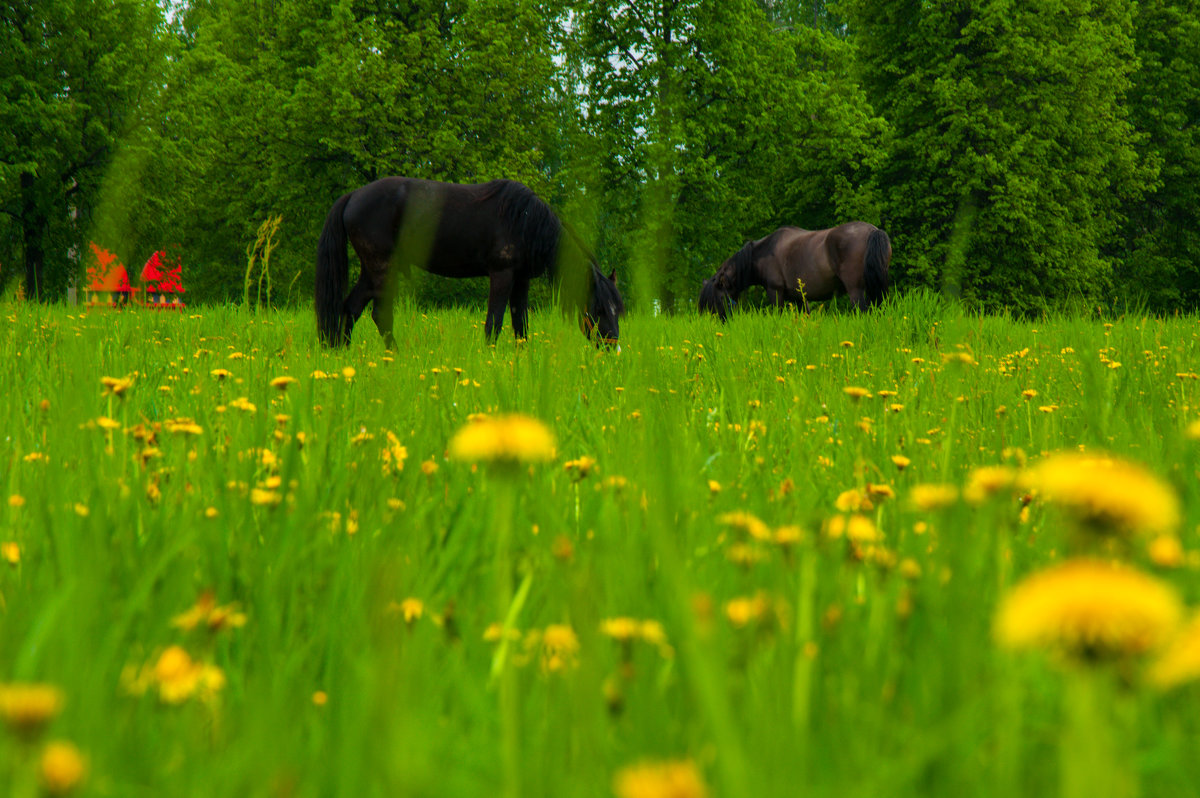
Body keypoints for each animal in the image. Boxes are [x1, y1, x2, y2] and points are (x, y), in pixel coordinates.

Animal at [314, 178, 624, 348]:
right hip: (382, 267)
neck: (525, 221)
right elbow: (494, 322)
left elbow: (520, 324)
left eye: (617, 310)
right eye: (599, 308)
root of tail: (353, 196)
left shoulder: (521, 279)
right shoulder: (501, 274)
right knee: (380, 315)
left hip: (370, 269)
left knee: (350, 309)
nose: (613, 348)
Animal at [696, 220, 892, 321]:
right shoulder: (799, 298)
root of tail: (873, 231)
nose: (715, 321)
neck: (763, 252)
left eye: (720, 298)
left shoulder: (775, 292)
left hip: (856, 290)